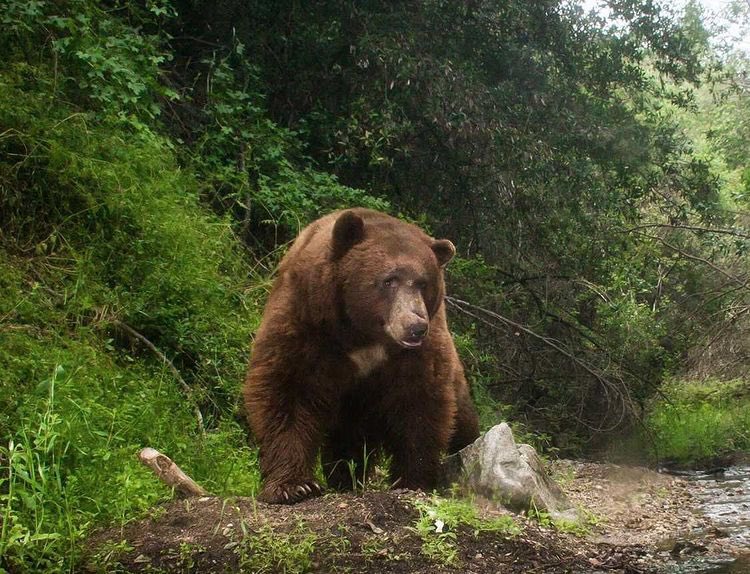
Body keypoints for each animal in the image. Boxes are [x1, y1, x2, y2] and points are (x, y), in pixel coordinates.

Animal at [243, 208, 480, 504]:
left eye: (423, 283)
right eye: (389, 280)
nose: (415, 326)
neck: (362, 334)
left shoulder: (417, 353)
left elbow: (419, 403)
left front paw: (413, 479)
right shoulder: (305, 320)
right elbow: (288, 387)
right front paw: (294, 486)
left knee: (464, 427)